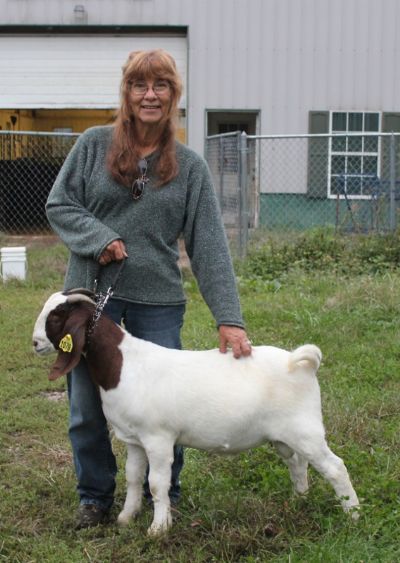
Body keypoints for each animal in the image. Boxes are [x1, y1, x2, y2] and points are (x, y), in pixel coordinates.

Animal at [32, 294, 360, 536]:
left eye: (56, 316)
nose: (35, 343)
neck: (124, 364)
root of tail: (300, 363)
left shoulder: (158, 438)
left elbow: (157, 484)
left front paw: (158, 529)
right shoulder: (134, 440)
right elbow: (134, 477)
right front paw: (127, 517)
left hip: (306, 430)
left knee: (335, 467)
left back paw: (353, 514)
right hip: (285, 436)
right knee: (298, 462)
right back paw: (298, 500)